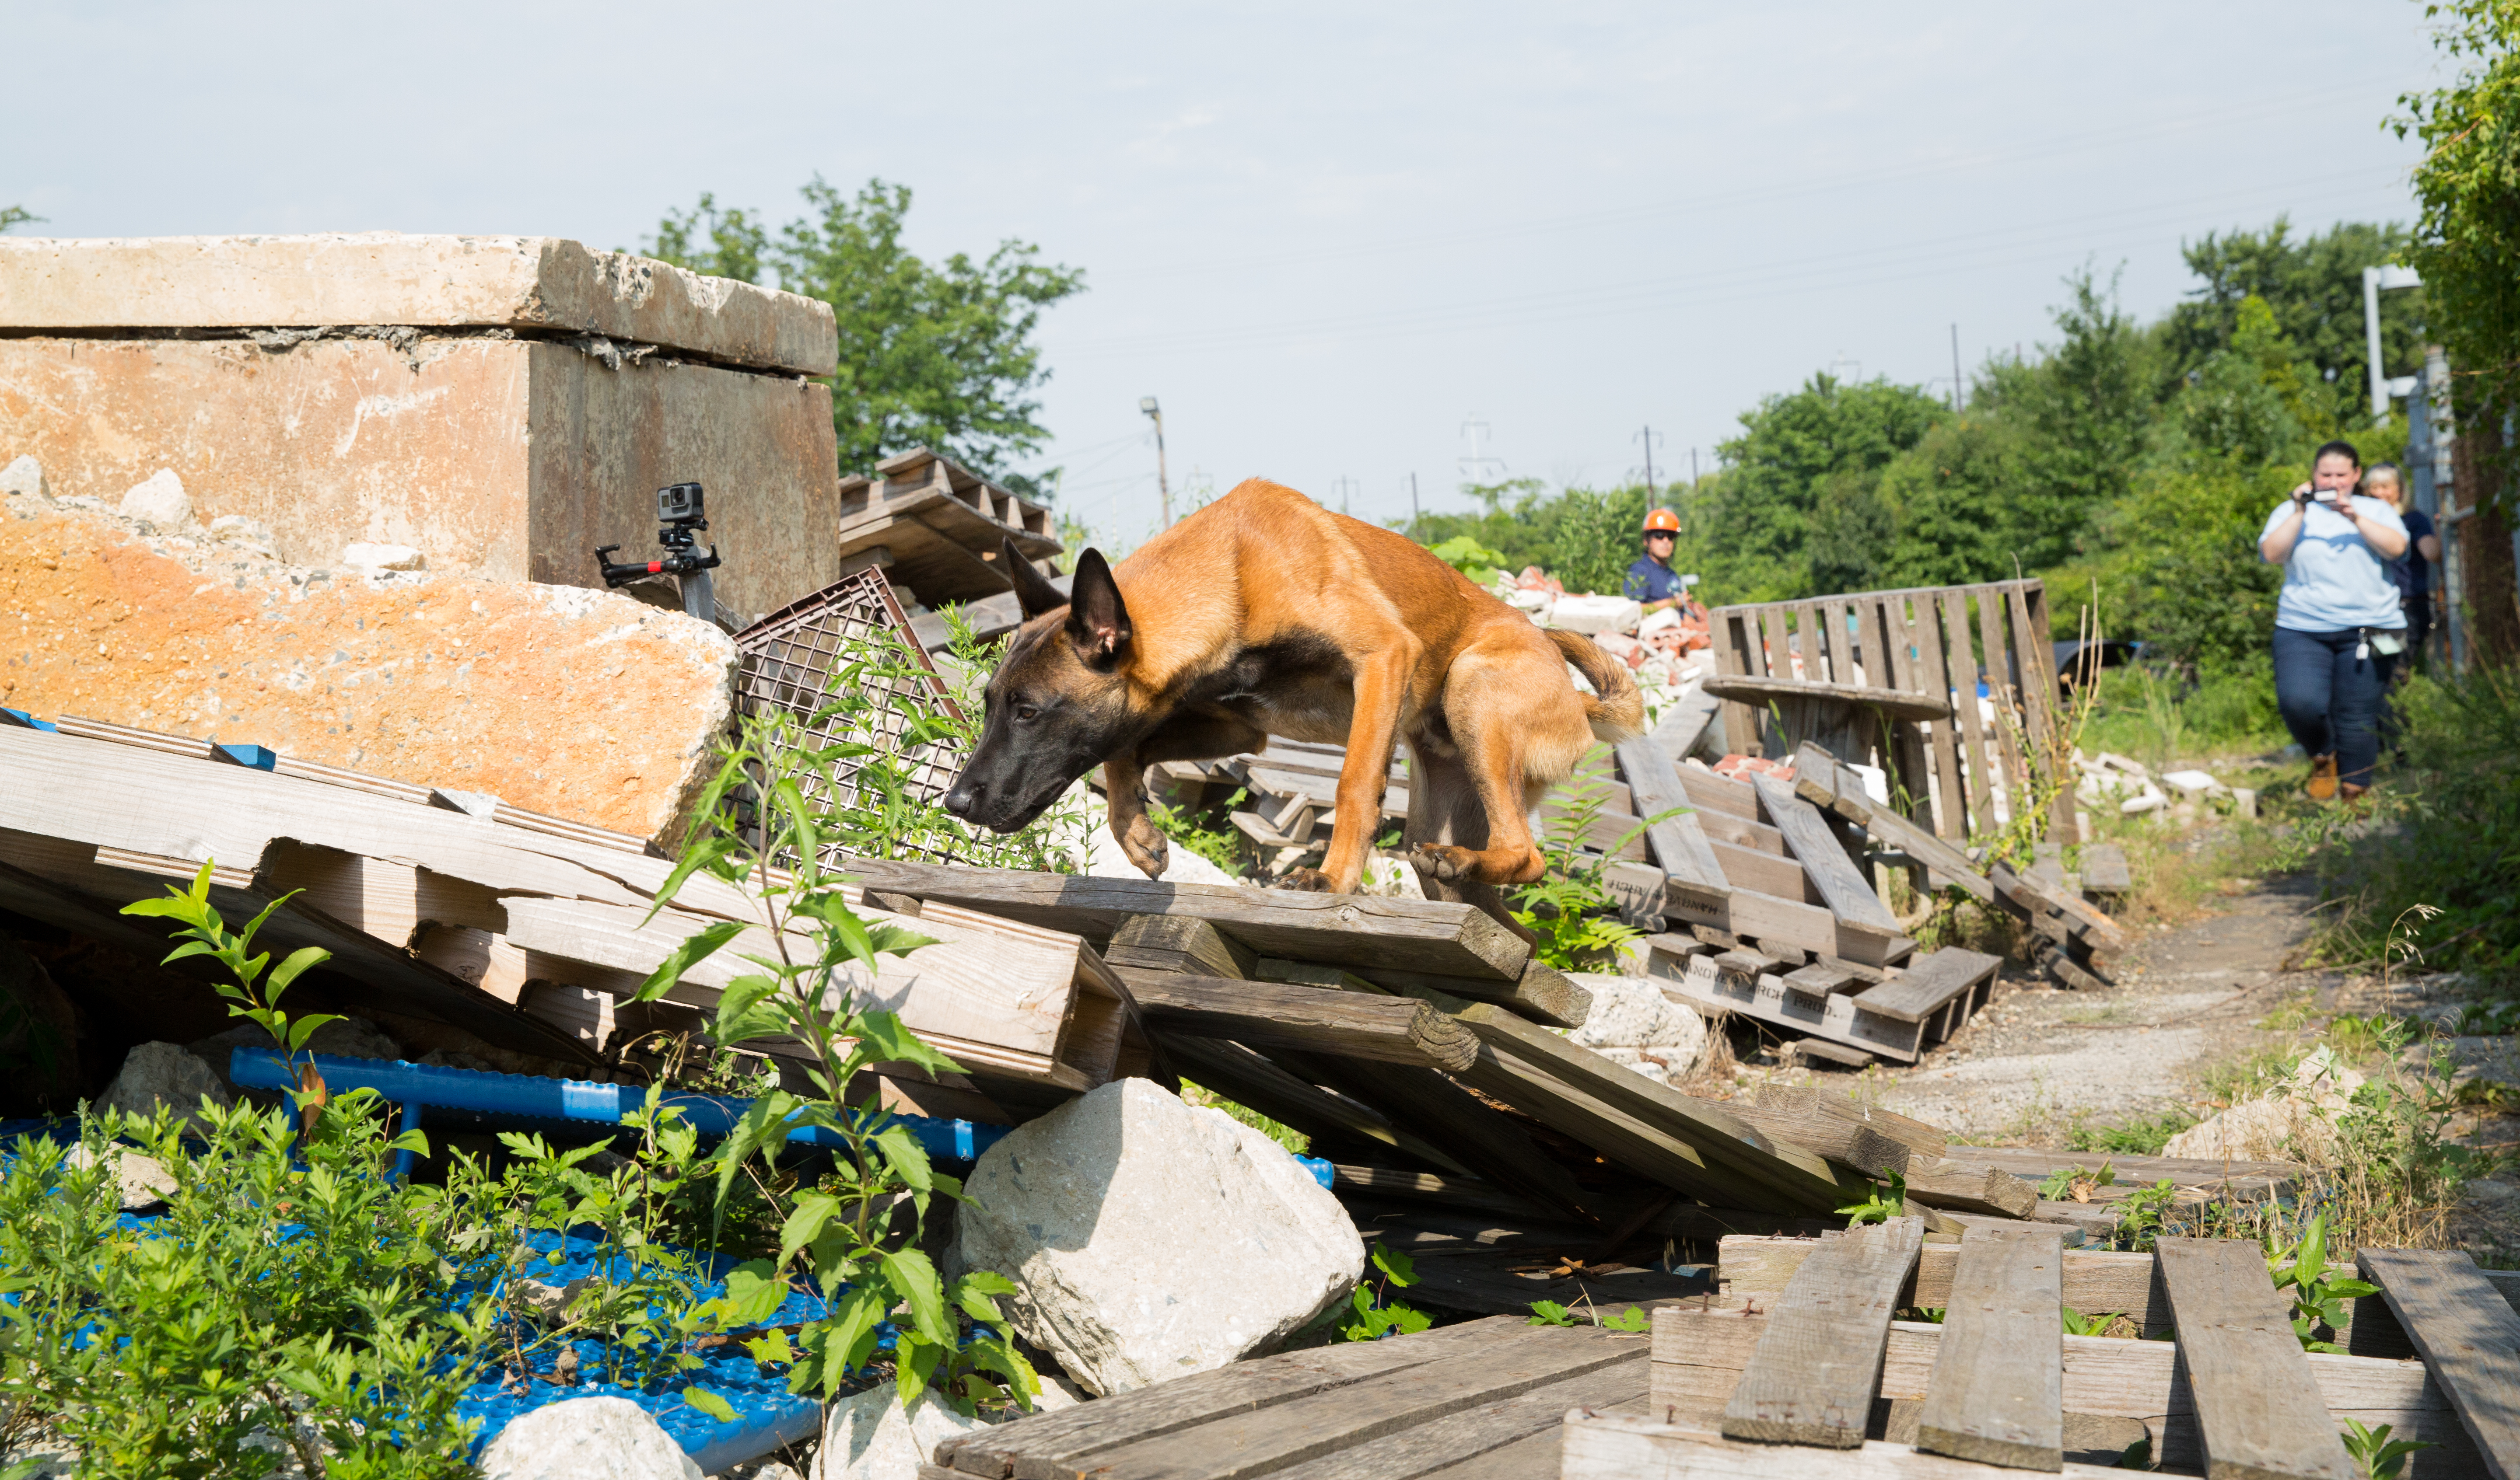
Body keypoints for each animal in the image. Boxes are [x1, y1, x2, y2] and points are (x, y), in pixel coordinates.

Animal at [937, 481, 1643, 931]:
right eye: (991, 705)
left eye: (1029, 712)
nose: (955, 802)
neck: (1233, 570)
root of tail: (1579, 701)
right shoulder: (1233, 726)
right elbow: (1124, 747)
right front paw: (1136, 833)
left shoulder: (1383, 657)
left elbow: (1354, 783)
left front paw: (1333, 882)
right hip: (1441, 827)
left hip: (1472, 686)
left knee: (1529, 854)